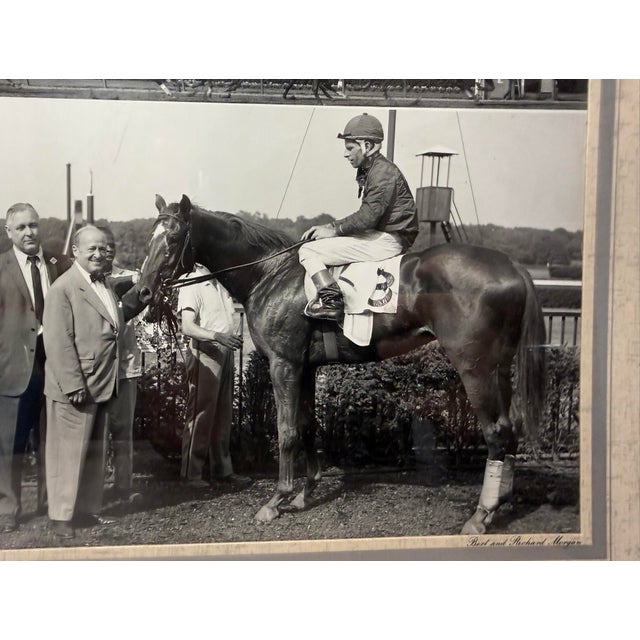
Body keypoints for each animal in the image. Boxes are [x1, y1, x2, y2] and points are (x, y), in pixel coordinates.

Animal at [137, 194, 546, 534]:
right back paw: (499, 504)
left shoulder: (283, 365)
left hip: (475, 366)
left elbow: (286, 431)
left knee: (496, 431)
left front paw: (277, 499)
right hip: (499, 367)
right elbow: (307, 426)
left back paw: (481, 514)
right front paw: (305, 493)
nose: (142, 290)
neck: (270, 275)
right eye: (149, 237)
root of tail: (513, 267)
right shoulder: (305, 367)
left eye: (172, 239)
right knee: (509, 429)